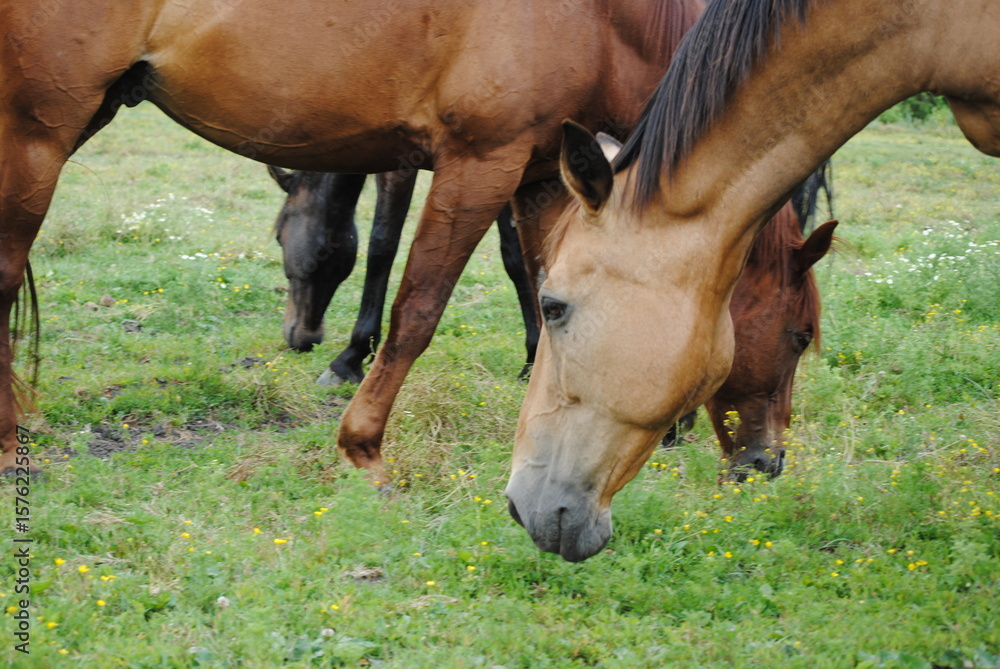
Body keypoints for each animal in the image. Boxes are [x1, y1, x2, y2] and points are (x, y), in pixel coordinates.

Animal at [266, 168, 539, 384]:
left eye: (279, 236)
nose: (300, 339)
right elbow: (515, 255)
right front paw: (532, 360)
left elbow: (382, 243)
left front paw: (350, 358)